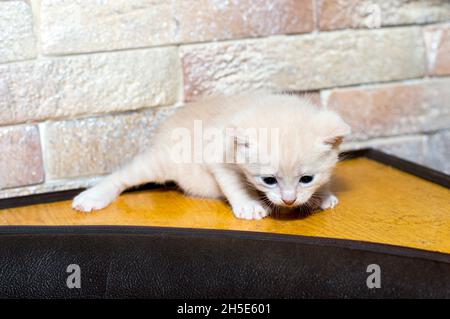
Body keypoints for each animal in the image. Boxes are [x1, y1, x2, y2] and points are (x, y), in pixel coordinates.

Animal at [73, 93, 352, 220]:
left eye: (306, 179)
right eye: (269, 181)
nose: (289, 200)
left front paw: (322, 195)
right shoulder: (217, 158)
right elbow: (235, 184)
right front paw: (249, 205)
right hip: (161, 162)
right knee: (123, 175)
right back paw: (92, 197)